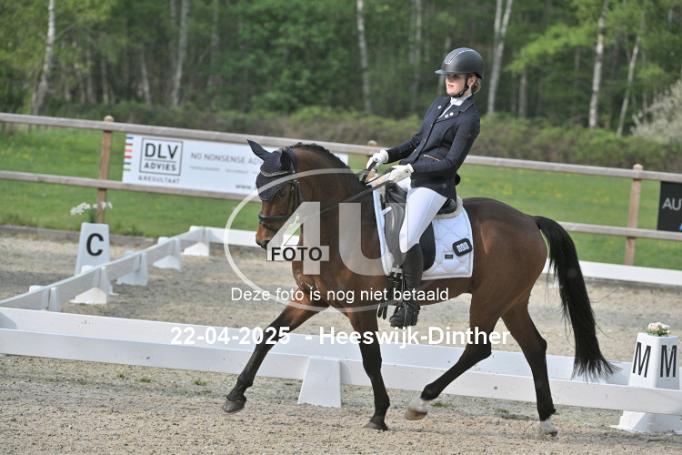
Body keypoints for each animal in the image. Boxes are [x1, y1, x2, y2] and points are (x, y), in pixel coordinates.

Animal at [223, 141, 614, 435]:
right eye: (257, 186)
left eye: (281, 189)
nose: (261, 240)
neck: (340, 226)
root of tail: (528, 221)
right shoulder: (311, 297)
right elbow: (269, 335)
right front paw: (236, 395)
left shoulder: (360, 309)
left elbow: (371, 360)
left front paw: (379, 415)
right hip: (512, 302)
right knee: (534, 347)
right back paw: (546, 420)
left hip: (489, 300)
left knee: (479, 349)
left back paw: (419, 403)